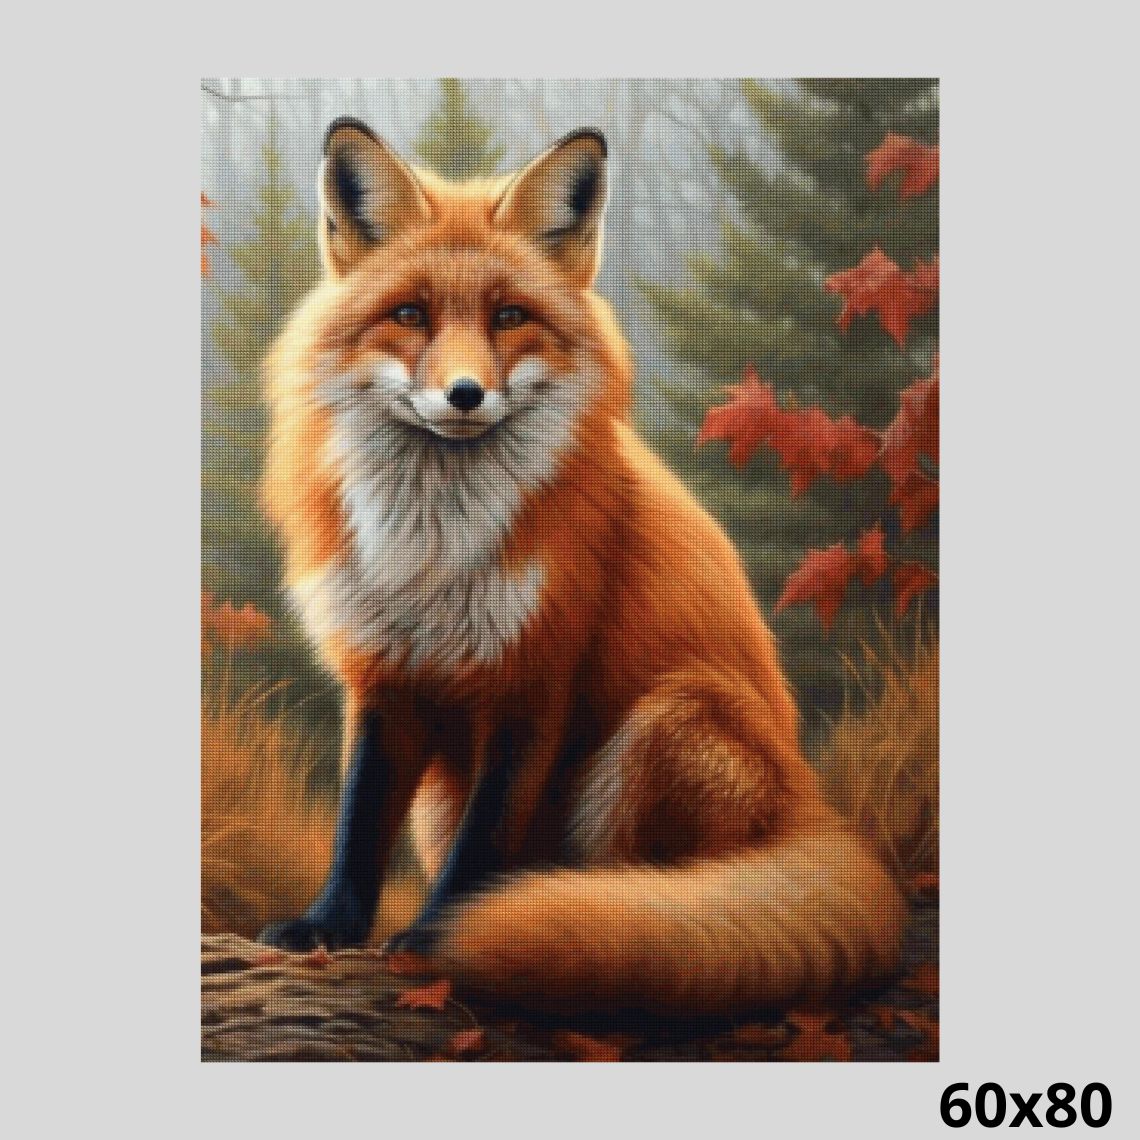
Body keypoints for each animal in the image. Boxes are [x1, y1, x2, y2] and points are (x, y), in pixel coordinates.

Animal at [256, 117, 906, 1017]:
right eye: (410, 315)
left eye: (509, 316)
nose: (465, 394)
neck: (433, 553)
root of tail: (820, 814)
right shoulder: (386, 678)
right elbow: (358, 823)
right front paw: (328, 926)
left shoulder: (536, 680)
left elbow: (481, 847)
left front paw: (437, 939)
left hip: (670, 718)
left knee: (653, 904)